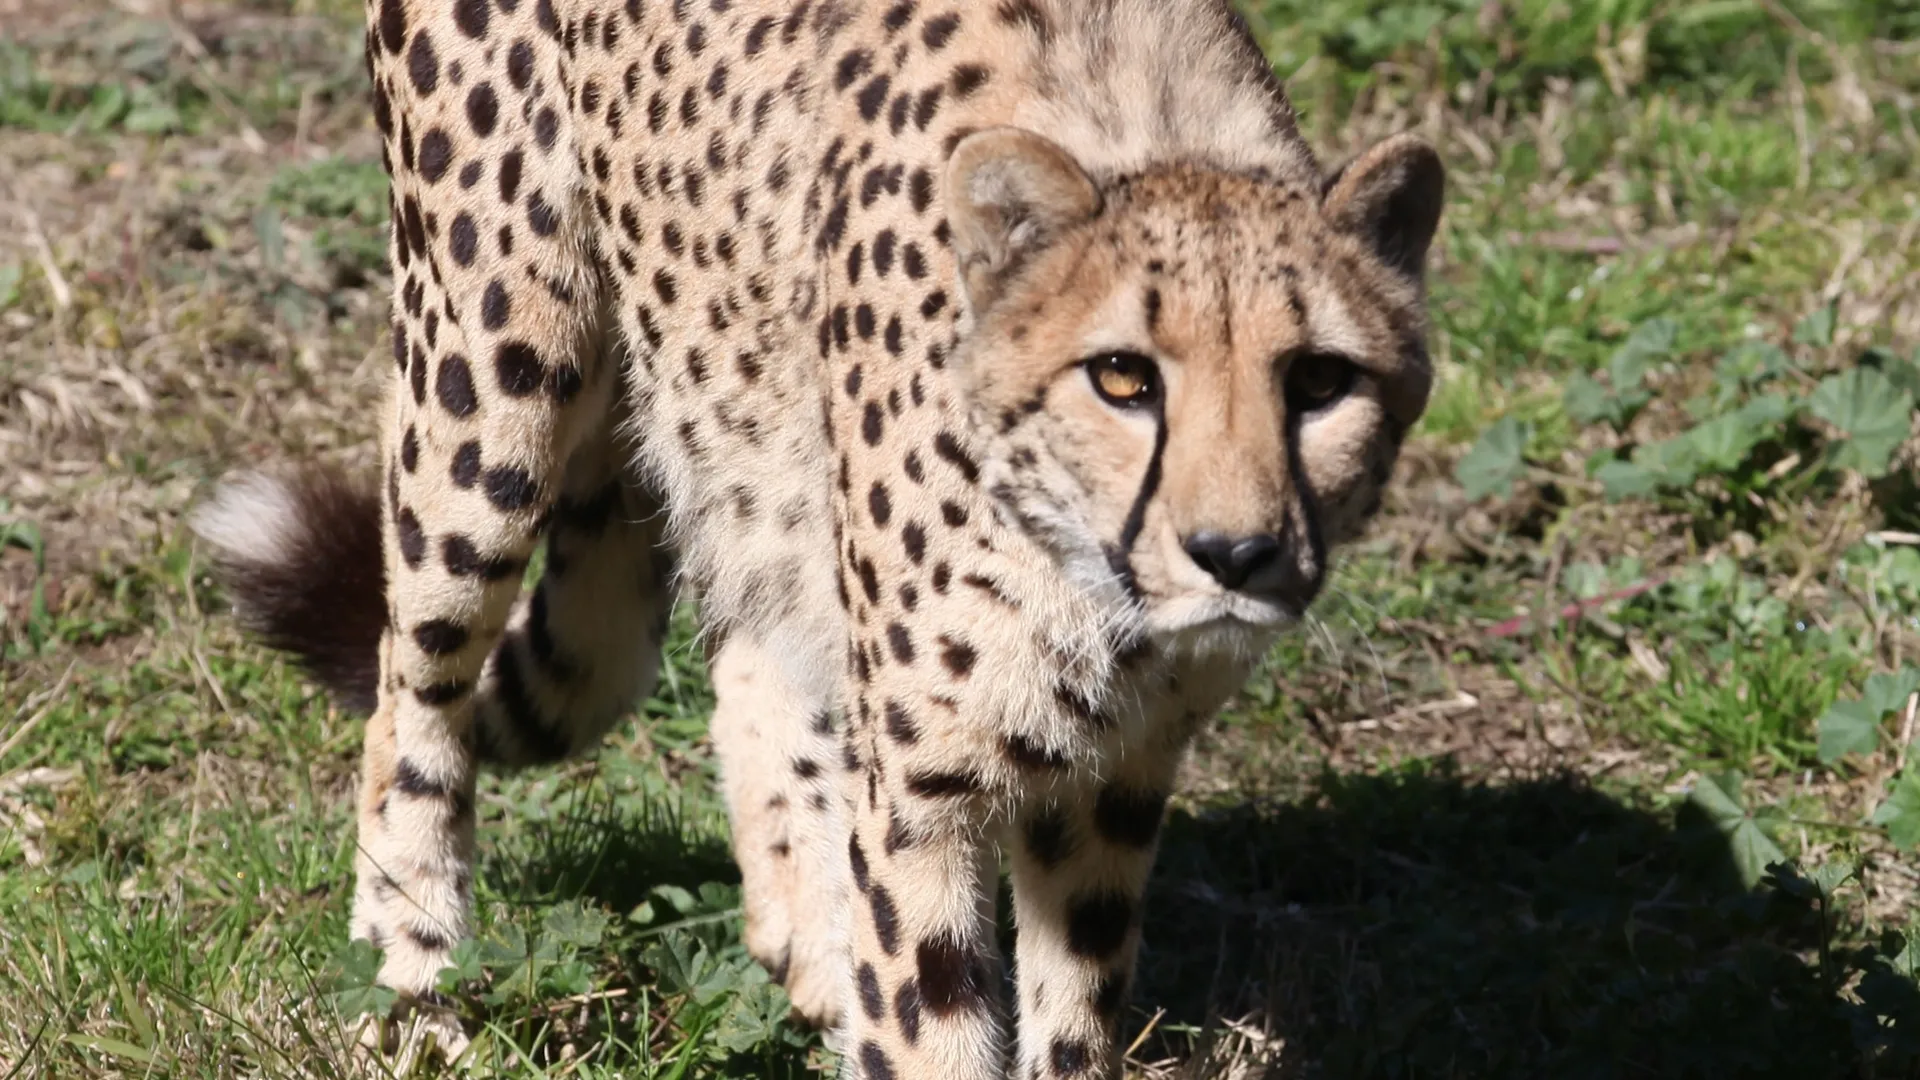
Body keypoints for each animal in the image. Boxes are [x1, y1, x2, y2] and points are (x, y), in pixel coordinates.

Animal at [189, 0, 1444, 1075]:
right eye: (1124, 377)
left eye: (1320, 382)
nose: (1233, 553)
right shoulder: (930, 795)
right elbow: (932, 1017)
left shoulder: (1115, 777)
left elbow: (1074, 1019)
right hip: (491, 372)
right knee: (410, 687)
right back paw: (410, 993)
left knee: (752, 652)